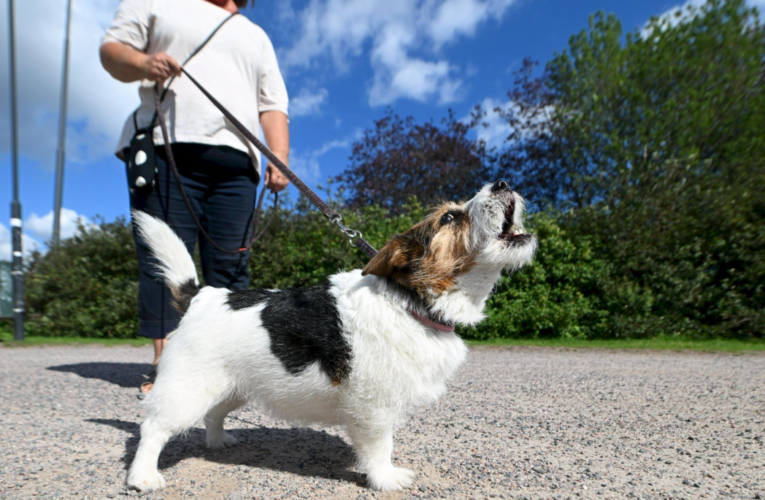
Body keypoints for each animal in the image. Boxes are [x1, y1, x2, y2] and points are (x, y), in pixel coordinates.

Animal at [125, 181, 536, 492]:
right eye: (450, 217)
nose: (501, 183)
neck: (410, 302)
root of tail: (202, 295)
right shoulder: (373, 409)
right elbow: (379, 447)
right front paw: (385, 479)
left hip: (231, 388)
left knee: (213, 415)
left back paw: (217, 442)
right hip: (186, 391)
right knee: (153, 428)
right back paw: (142, 477)